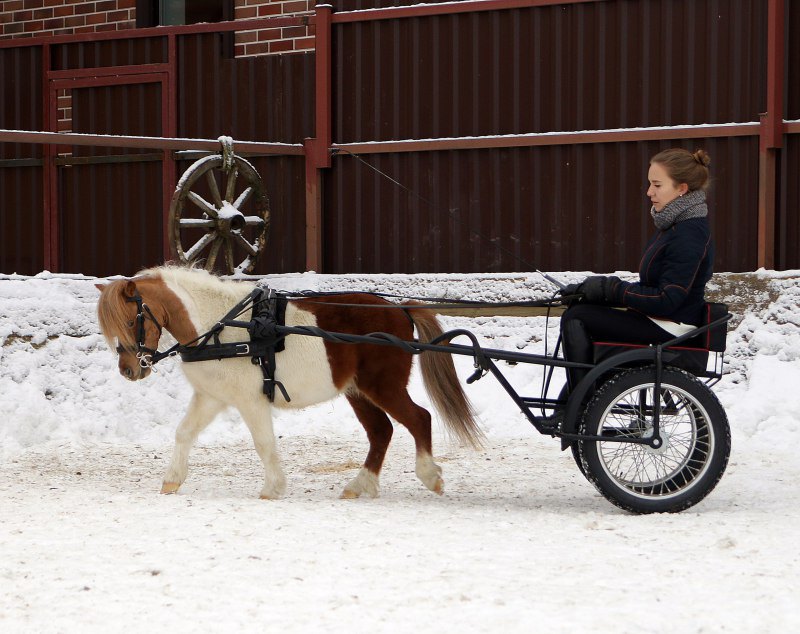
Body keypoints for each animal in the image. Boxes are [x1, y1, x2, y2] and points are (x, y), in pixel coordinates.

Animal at [94, 264, 482, 496]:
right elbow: (184, 433)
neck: (220, 327)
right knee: (381, 432)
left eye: (129, 321)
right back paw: (360, 484)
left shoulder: (250, 400)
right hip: (358, 391)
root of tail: (399, 308)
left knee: (419, 418)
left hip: (382, 386)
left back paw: (429, 475)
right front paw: (172, 481)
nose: (129, 370)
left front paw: (273, 488)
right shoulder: (211, 397)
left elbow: (264, 443)